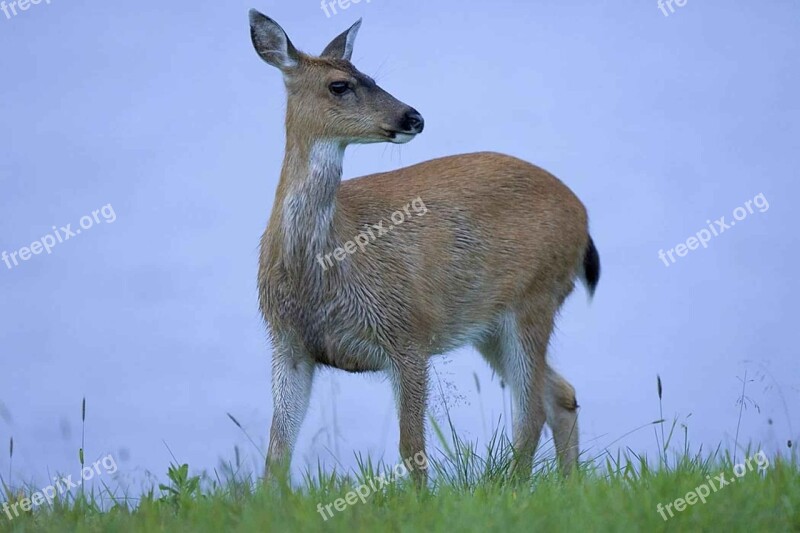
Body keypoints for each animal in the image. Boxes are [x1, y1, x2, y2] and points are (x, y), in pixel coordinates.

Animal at [250, 9, 600, 486]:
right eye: (340, 84)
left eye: (371, 76)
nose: (413, 117)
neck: (323, 265)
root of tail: (582, 215)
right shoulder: (288, 343)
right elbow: (277, 452)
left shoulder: (408, 331)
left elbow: (411, 448)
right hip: (489, 325)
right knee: (559, 395)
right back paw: (566, 485)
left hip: (535, 297)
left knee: (529, 413)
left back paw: (516, 489)